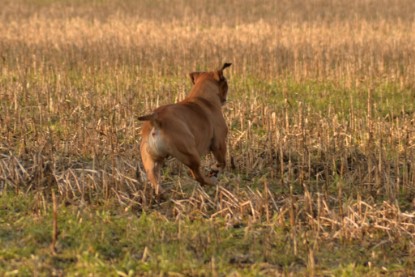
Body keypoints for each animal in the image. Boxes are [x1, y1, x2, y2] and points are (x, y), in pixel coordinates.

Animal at [138, 62, 232, 194]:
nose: (225, 99)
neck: (203, 96)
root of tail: (155, 119)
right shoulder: (219, 143)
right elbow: (222, 162)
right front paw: (215, 169)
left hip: (152, 162)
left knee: (155, 180)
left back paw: (162, 193)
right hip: (191, 154)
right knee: (197, 175)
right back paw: (211, 181)